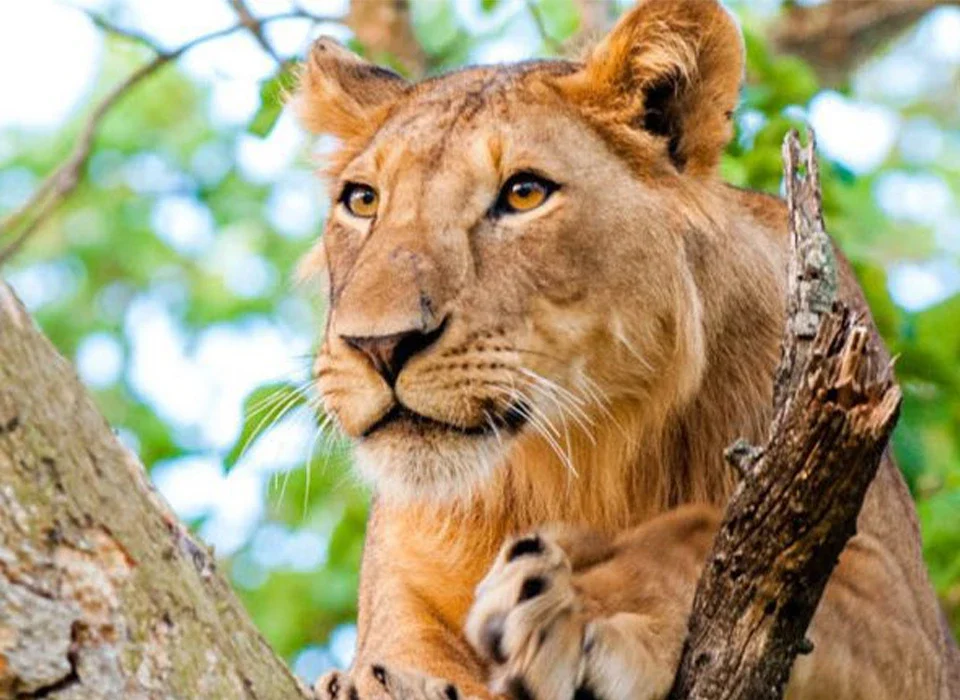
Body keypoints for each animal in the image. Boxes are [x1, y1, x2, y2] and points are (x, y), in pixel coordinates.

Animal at [292, 0, 960, 697]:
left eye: (524, 193)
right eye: (362, 200)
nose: (379, 345)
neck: (578, 457)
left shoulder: (907, 617)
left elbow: (698, 537)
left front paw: (578, 608)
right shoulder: (400, 600)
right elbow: (395, 656)